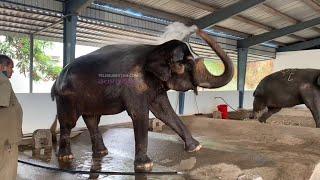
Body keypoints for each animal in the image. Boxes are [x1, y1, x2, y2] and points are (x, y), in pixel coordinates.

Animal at [51, 28, 234, 172]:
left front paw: (196, 147)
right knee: (69, 122)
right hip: (67, 97)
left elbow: (164, 112)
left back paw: (102, 153)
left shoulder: (154, 85)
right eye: (188, 63)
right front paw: (145, 166)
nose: (198, 30)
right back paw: (66, 157)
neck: (155, 49)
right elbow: (140, 114)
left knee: (92, 120)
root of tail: (57, 79)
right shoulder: (133, 84)